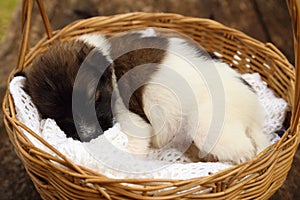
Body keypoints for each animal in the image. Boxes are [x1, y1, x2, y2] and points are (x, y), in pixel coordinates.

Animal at [22, 28, 270, 163]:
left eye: (95, 99)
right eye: (64, 120)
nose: (91, 135)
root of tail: (254, 114)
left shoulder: (133, 123)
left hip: (207, 128)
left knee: (244, 149)